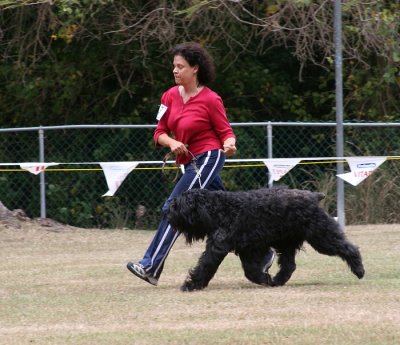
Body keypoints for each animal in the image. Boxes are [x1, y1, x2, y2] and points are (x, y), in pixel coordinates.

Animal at [167, 188, 364, 290]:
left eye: (179, 205)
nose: (168, 213)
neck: (219, 208)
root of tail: (313, 196)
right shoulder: (248, 250)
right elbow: (251, 271)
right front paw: (265, 278)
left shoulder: (218, 247)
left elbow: (205, 265)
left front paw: (191, 284)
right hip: (287, 244)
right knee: (289, 265)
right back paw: (277, 281)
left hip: (321, 237)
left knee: (348, 248)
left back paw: (359, 270)